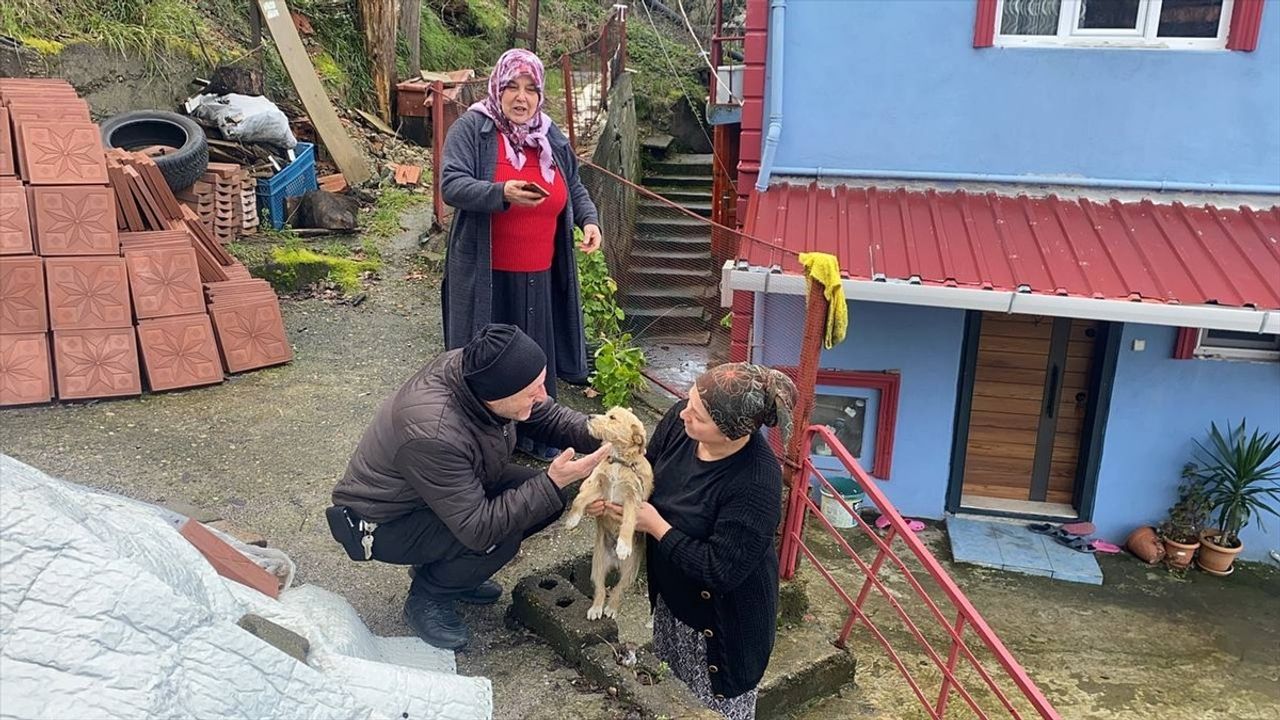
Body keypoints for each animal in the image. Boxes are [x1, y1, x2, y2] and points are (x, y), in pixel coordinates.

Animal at [565, 404, 655, 617]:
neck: (619, 461)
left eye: (612, 418)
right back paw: (596, 608)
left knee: (617, 589)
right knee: (600, 589)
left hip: (630, 571)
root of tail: (613, 563)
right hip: (597, 565)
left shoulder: (633, 499)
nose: (589, 416)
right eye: (607, 413)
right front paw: (572, 519)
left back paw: (612, 608)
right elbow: (580, 499)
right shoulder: (600, 487)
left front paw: (623, 545)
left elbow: (628, 522)